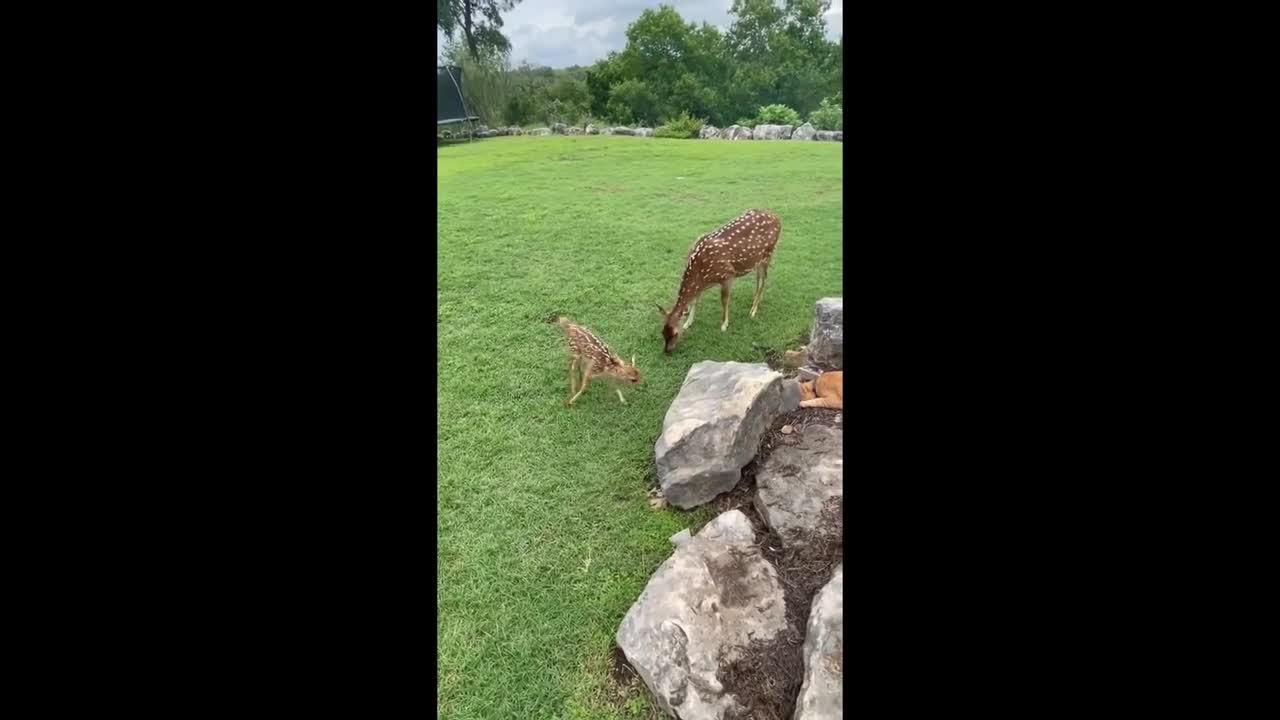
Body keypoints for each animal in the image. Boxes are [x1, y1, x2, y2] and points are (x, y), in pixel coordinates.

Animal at [660, 208, 778, 351]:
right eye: (663, 332)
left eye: (675, 333)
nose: (667, 351)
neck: (701, 271)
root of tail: (777, 218)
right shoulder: (702, 284)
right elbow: (695, 300)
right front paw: (688, 323)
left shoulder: (728, 275)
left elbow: (724, 300)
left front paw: (724, 325)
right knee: (760, 280)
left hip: (767, 254)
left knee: (762, 281)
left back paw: (753, 311)